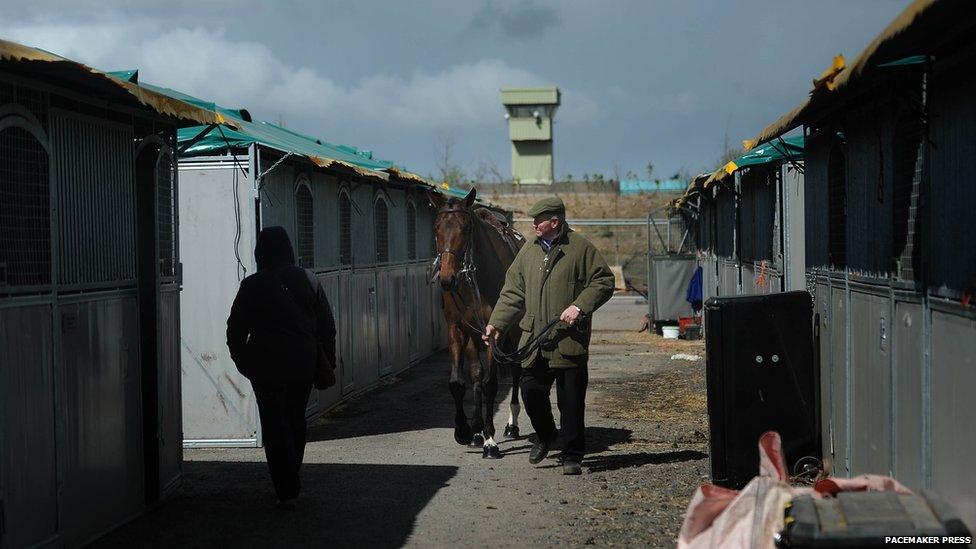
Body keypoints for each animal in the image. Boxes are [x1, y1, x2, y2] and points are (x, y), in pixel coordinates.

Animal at [428, 188, 524, 458]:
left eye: (465, 228)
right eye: (437, 227)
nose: (447, 279)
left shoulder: (494, 332)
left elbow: (491, 384)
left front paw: (490, 440)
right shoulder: (457, 329)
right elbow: (461, 382)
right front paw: (465, 431)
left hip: (515, 333)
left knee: (515, 370)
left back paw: (511, 425)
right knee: (477, 375)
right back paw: (477, 432)